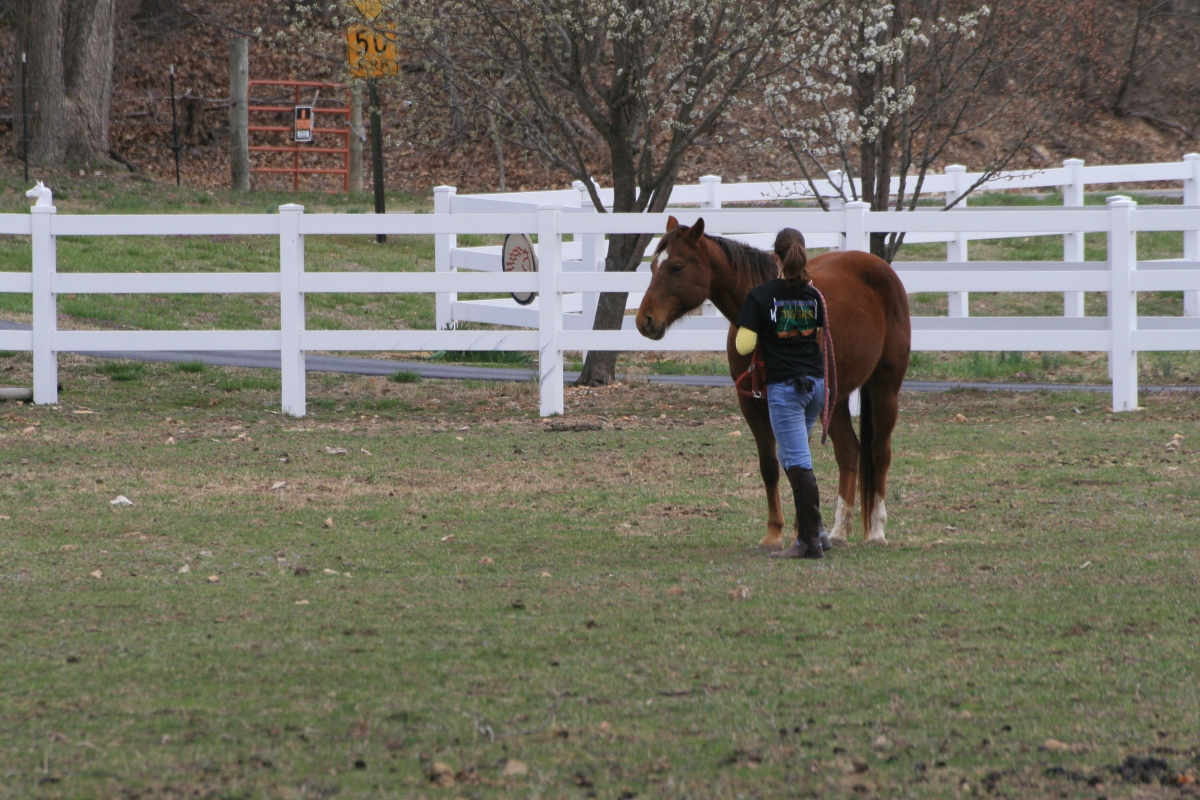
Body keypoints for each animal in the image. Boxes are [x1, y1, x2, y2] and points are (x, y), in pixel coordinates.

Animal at [638, 215, 907, 546]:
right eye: (653, 266)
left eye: (676, 267)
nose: (645, 320)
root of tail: (879, 266)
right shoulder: (752, 404)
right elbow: (770, 466)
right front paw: (773, 533)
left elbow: (796, 461)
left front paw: (800, 531)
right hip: (836, 398)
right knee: (849, 452)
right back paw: (839, 532)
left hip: (885, 389)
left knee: (879, 452)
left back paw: (877, 531)